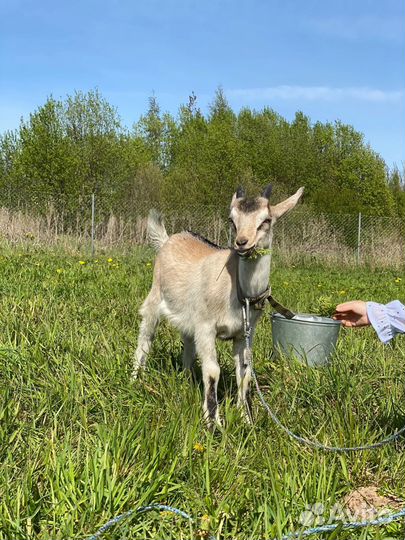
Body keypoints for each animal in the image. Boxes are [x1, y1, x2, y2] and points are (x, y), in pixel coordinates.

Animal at [133, 186, 304, 426]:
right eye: (232, 220)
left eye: (266, 220)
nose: (242, 242)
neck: (239, 292)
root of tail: (169, 239)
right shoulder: (206, 326)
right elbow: (213, 371)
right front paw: (214, 423)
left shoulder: (244, 333)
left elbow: (245, 373)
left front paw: (246, 419)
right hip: (155, 298)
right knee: (145, 338)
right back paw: (136, 379)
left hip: (189, 316)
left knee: (188, 344)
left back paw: (187, 380)